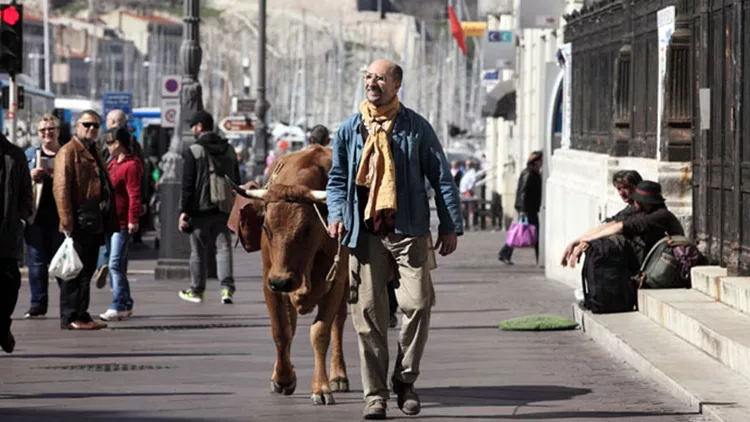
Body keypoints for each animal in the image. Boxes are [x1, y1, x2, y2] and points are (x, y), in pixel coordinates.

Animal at [225, 145, 352, 406]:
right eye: (266, 227)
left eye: (307, 229)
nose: (281, 280)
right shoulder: (269, 281)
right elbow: (282, 331)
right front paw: (283, 378)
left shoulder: (336, 281)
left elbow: (321, 332)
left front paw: (321, 387)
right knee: (291, 325)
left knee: (338, 323)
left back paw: (338, 375)